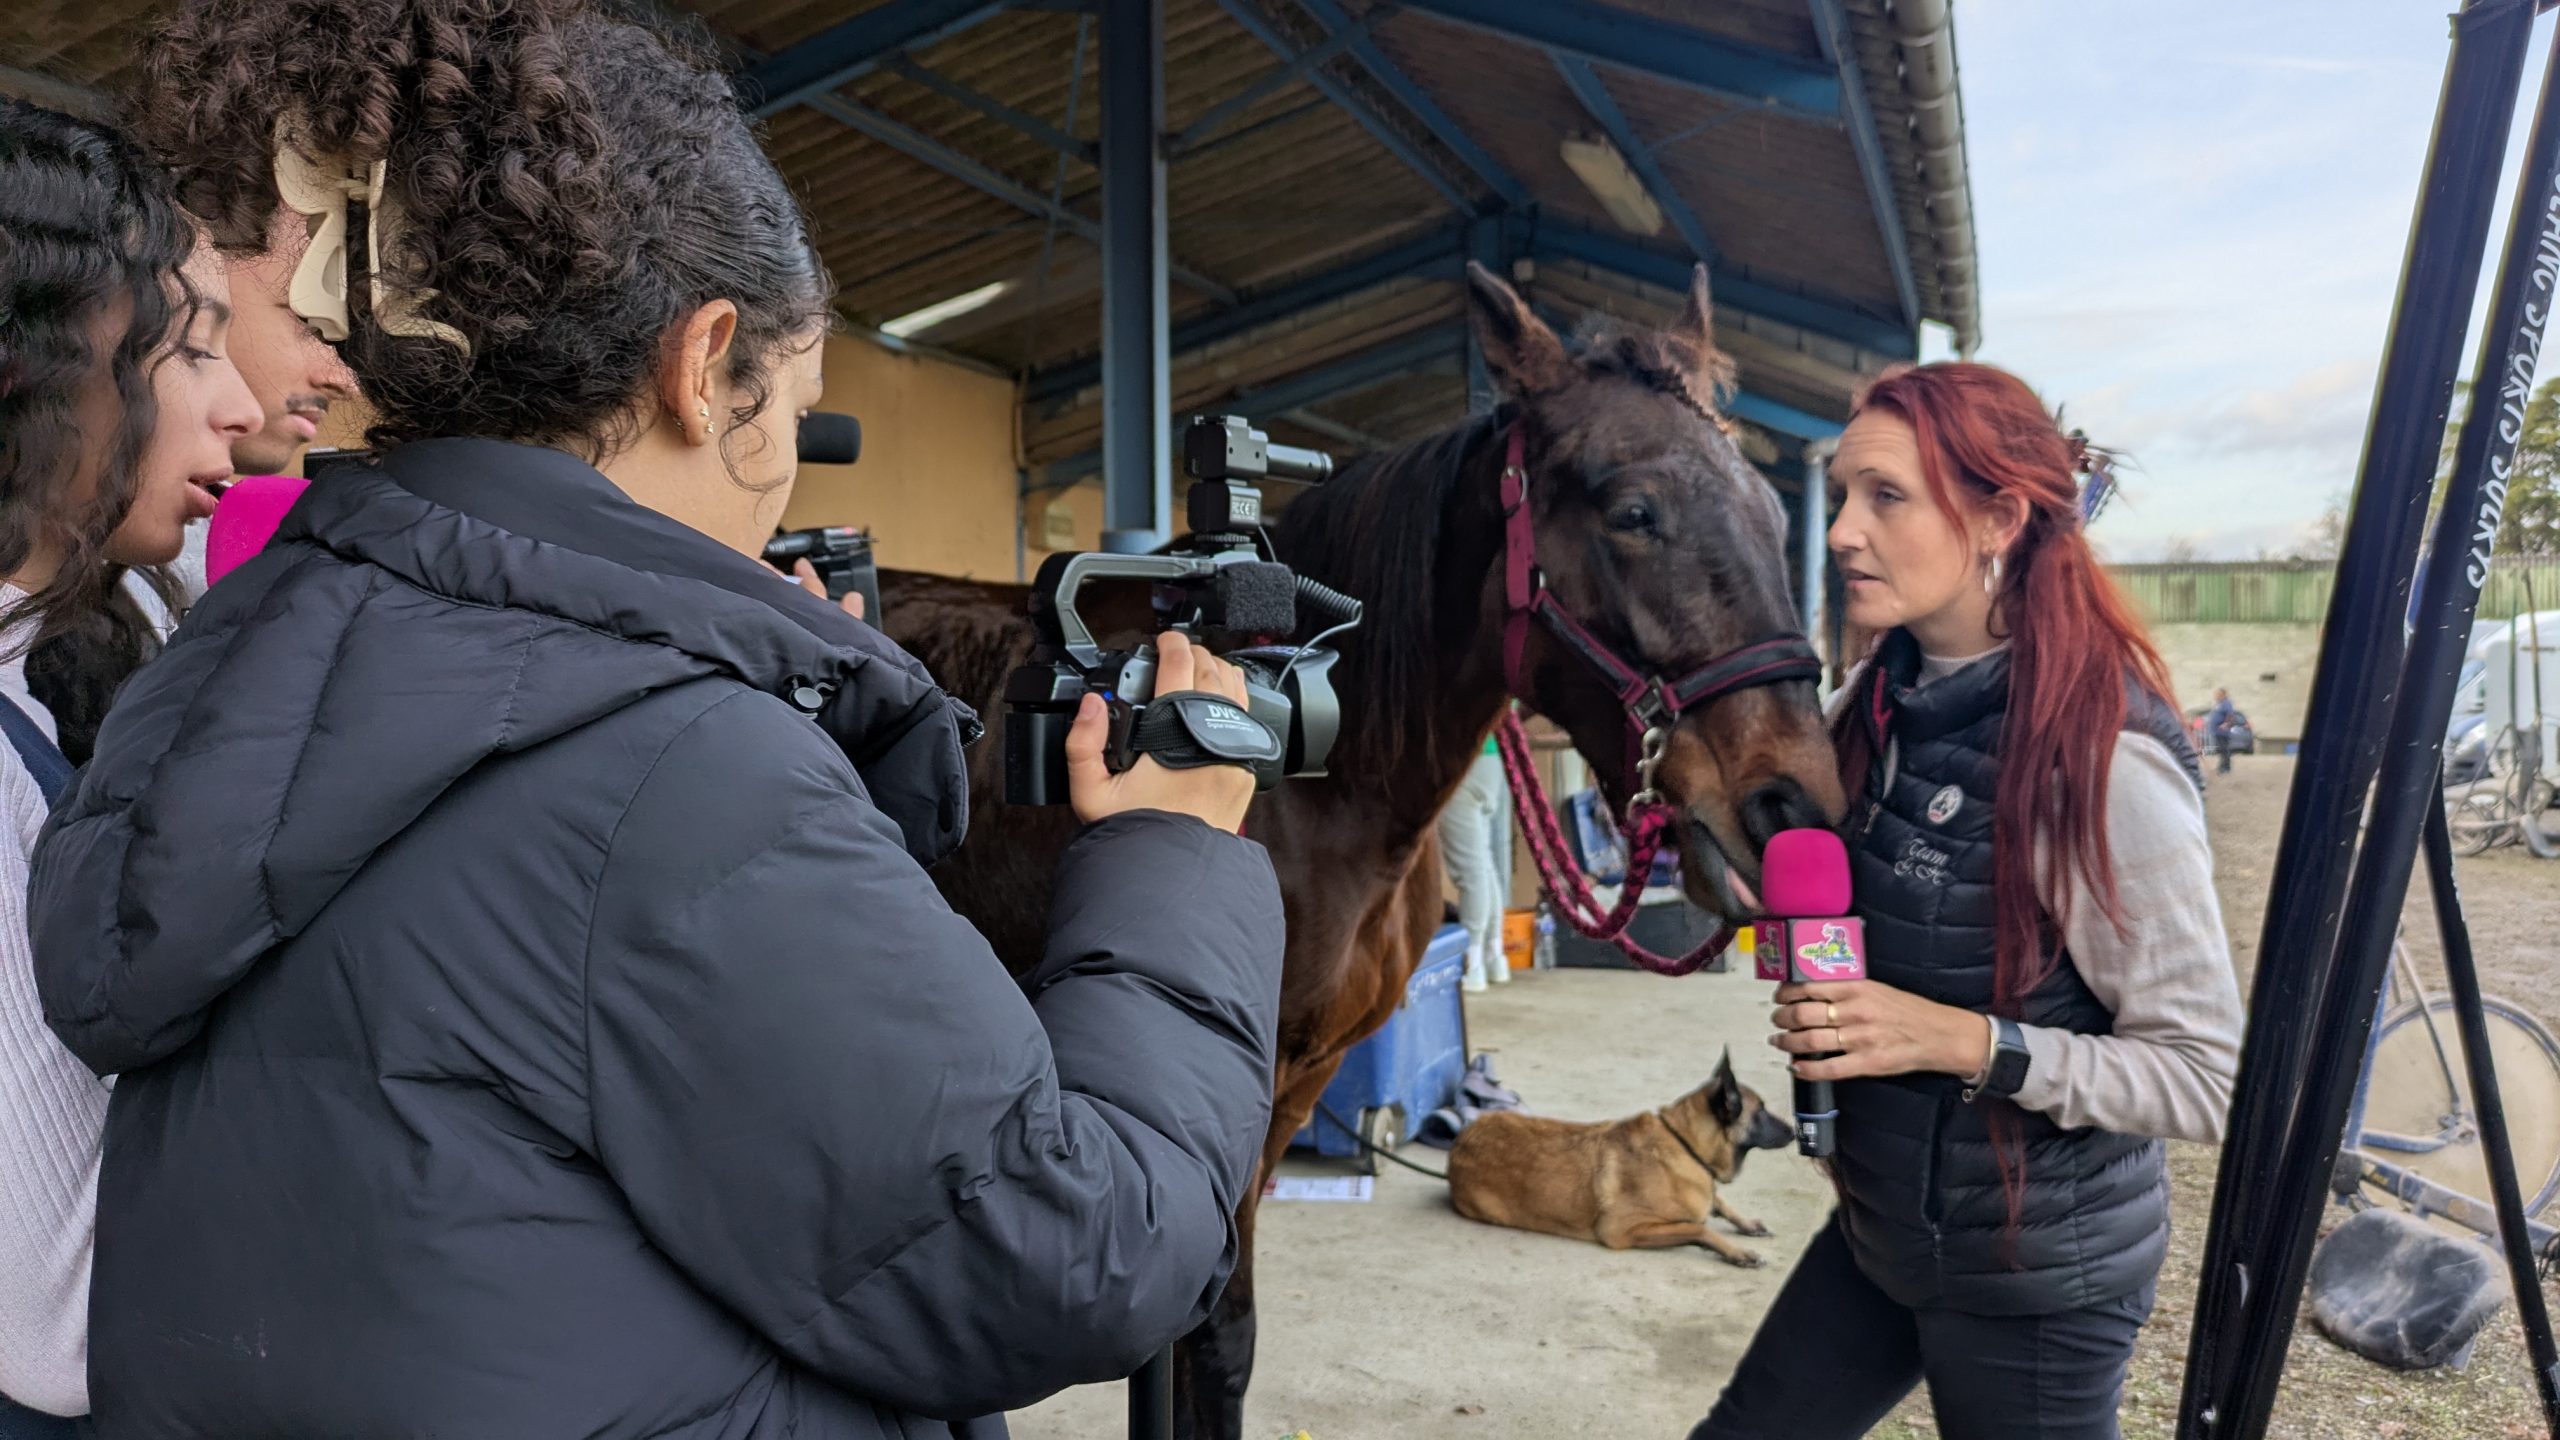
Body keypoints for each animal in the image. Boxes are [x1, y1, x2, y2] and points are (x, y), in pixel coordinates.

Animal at [1444, 1050, 1795, 1266]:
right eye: (1761, 1111)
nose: (1795, 1131)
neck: (1684, 1142)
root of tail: (1460, 1142)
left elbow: (1719, 1201)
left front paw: (1746, 1224)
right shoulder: (1623, 1229)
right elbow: (1700, 1230)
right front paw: (1738, 1252)